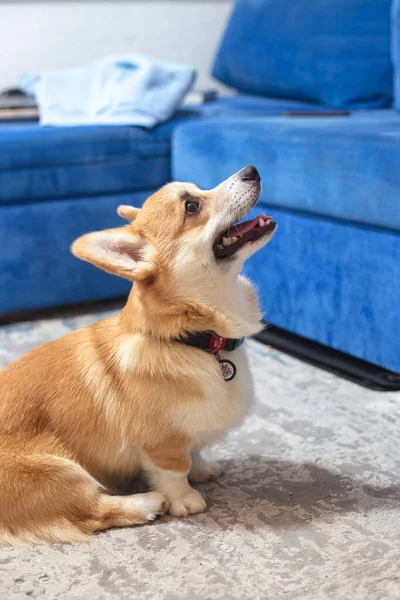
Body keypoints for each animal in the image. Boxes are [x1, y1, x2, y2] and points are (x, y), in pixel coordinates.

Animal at [0, 165, 276, 544]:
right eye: (191, 206)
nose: (252, 170)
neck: (191, 339)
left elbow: (195, 451)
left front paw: (204, 469)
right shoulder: (162, 441)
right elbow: (175, 468)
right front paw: (185, 499)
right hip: (60, 473)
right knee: (94, 513)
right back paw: (147, 503)